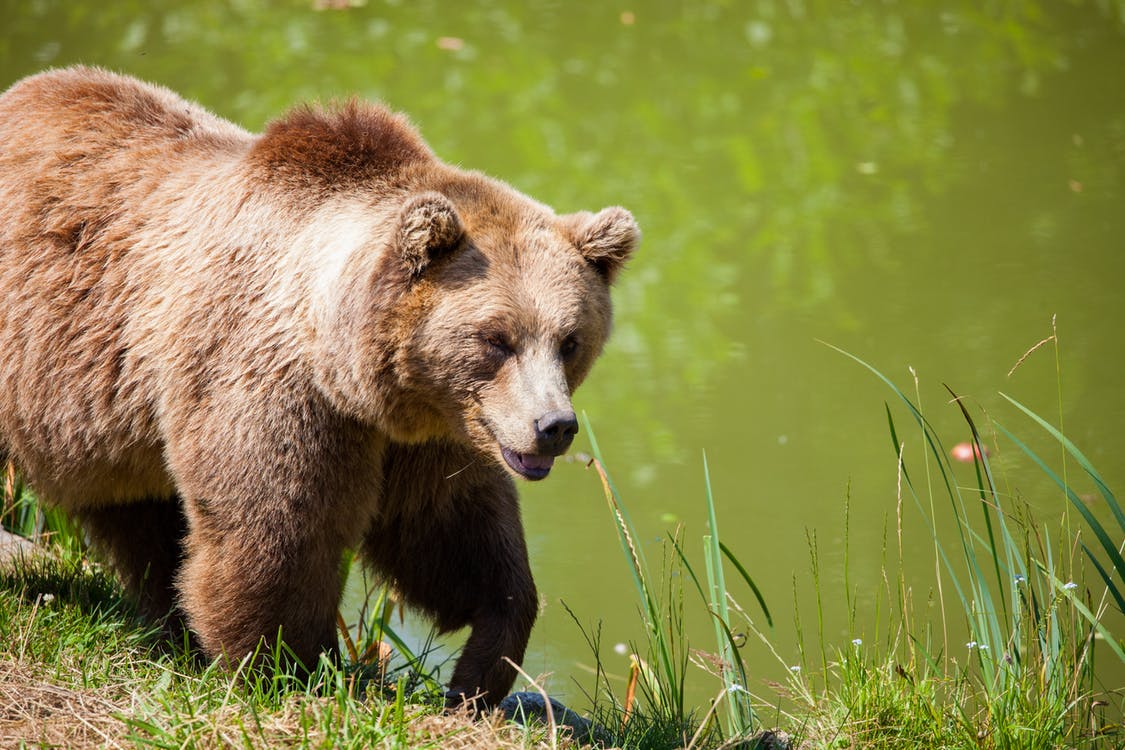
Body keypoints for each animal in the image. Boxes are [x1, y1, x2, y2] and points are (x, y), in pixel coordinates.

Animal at [0, 66, 639, 707]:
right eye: (496, 339)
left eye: (569, 340)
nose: (554, 426)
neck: (351, 369)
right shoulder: (271, 384)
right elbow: (276, 531)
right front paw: (292, 669)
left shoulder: (431, 432)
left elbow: (450, 532)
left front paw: (481, 668)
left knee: (137, 514)